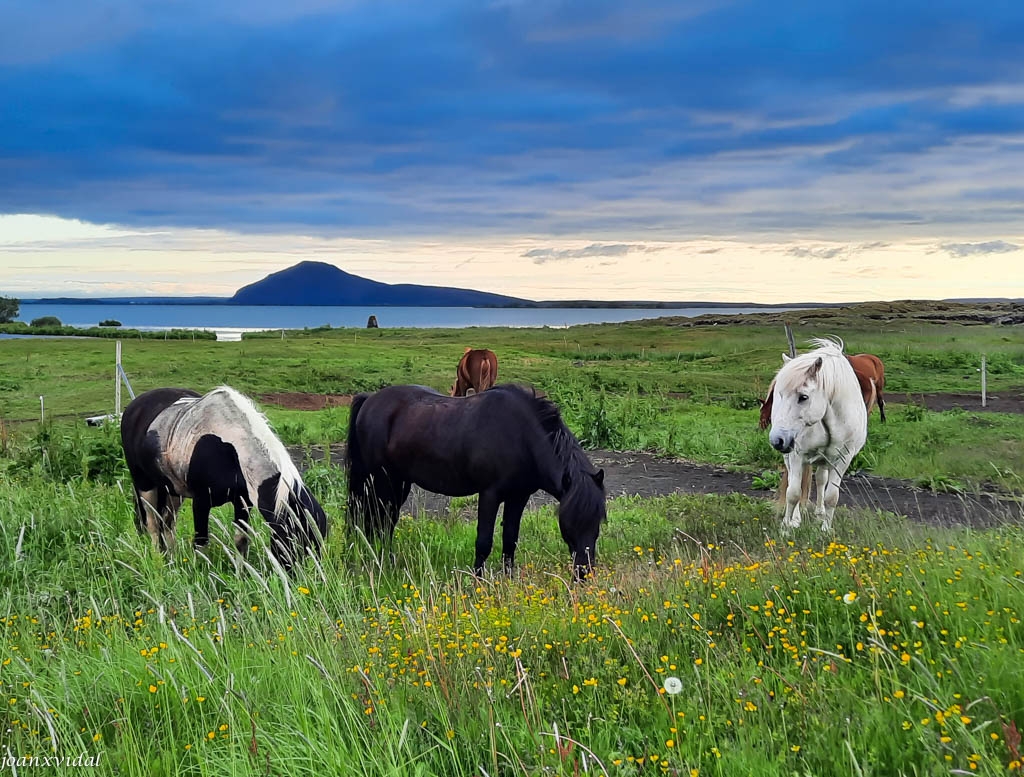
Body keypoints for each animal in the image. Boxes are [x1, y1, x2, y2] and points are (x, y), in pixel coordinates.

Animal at [119, 384, 327, 573]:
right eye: (295, 539)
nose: (301, 578)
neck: (230, 448)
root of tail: (133, 407)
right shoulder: (201, 502)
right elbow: (201, 543)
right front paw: (203, 576)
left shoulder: (242, 502)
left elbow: (241, 540)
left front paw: (240, 576)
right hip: (145, 484)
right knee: (153, 525)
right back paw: (159, 562)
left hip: (173, 490)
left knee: (167, 524)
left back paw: (172, 559)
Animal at [770, 337, 864, 532]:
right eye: (780, 394)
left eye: (803, 397)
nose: (777, 440)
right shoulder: (797, 455)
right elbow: (793, 493)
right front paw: (786, 527)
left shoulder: (843, 459)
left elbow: (831, 496)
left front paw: (826, 529)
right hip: (791, 457)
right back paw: (795, 519)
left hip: (825, 460)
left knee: (821, 480)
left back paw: (820, 514)